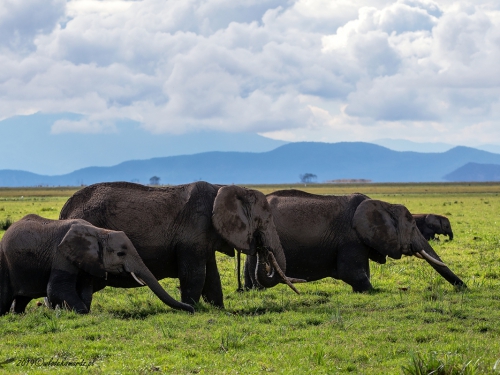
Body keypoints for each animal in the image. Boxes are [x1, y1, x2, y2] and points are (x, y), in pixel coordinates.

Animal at [0, 214, 194, 318]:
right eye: (121, 254)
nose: (191, 310)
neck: (99, 232)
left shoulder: (90, 259)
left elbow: (85, 288)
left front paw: (83, 311)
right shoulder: (61, 255)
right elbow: (56, 289)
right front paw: (81, 313)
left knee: (22, 298)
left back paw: (18, 315)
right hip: (4, 261)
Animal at [59, 181, 300, 310]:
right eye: (264, 221)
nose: (262, 249)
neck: (224, 188)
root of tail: (65, 210)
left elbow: (212, 277)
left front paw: (218, 309)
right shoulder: (193, 232)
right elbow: (195, 275)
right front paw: (192, 308)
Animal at [244, 191, 466, 294]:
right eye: (412, 229)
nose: (464, 288)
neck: (383, 205)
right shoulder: (350, 239)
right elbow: (350, 272)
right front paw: (371, 291)